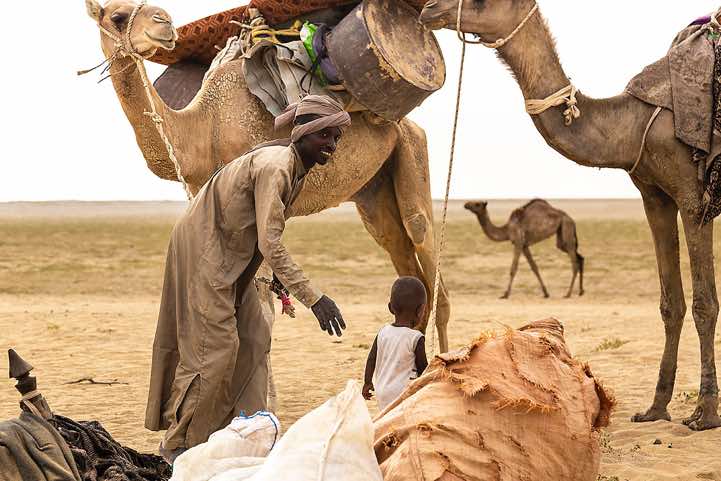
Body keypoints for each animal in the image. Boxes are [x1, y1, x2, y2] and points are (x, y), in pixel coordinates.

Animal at [82, 0, 451, 351]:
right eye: (116, 16)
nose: (165, 23)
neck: (200, 128)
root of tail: (408, 125)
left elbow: (260, 299)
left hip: (411, 151)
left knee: (427, 253)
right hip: (374, 190)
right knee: (403, 260)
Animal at [420, 0, 721, 430]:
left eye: (483, 2)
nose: (429, 9)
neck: (631, 124)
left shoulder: (694, 198)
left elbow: (704, 304)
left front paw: (705, 413)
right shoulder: (654, 196)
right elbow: (670, 304)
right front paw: (655, 408)